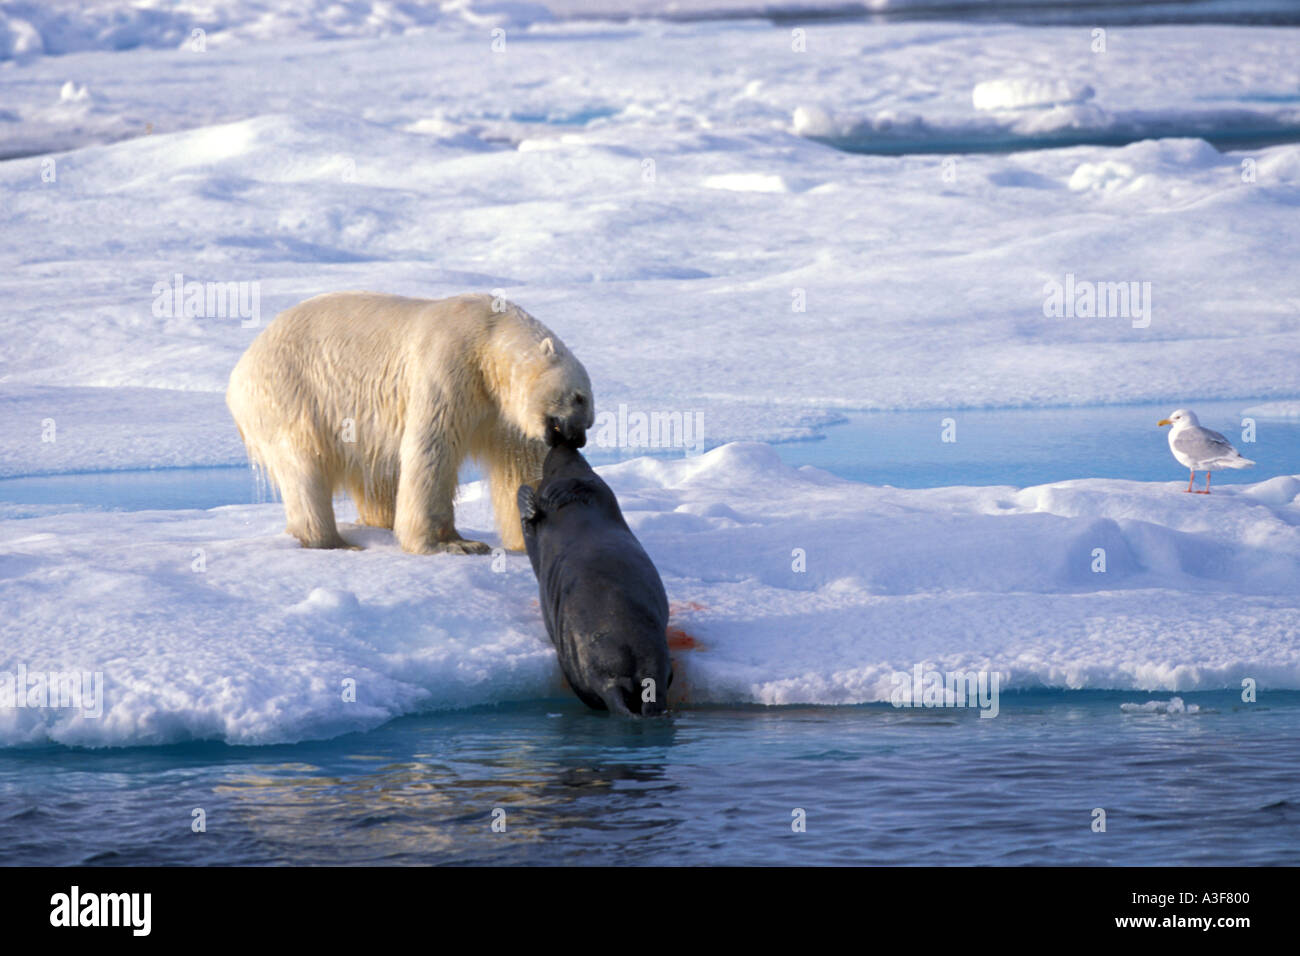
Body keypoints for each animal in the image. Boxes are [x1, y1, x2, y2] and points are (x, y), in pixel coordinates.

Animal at [227, 291, 595, 554]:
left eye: (590, 413)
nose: (578, 439)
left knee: (373, 477)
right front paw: (452, 543)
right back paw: (333, 541)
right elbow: (432, 449)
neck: (489, 337)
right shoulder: (450, 365)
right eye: (579, 397)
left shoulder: (500, 412)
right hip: (292, 396)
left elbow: (519, 465)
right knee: (304, 468)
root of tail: (239, 370)